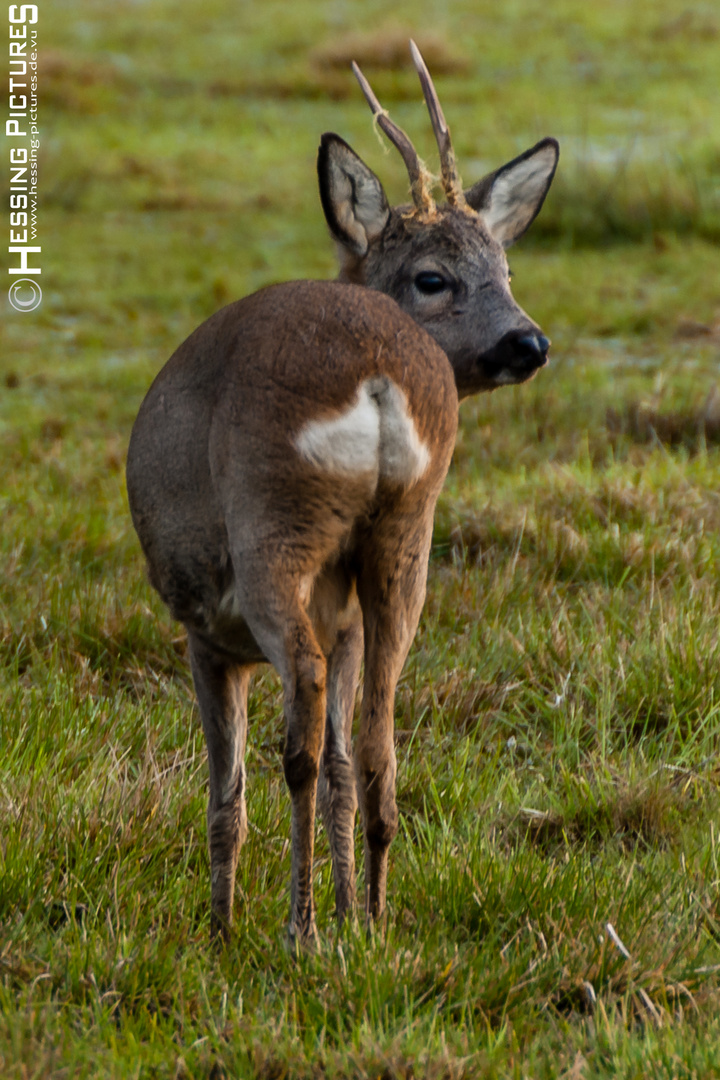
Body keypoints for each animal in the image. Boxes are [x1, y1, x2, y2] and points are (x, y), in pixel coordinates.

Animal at [126, 42, 561, 941]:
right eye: (434, 277)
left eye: (503, 270)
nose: (528, 341)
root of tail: (378, 375)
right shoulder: (349, 621)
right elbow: (340, 764)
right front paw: (345, 904)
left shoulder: (203, 633)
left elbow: (227, 792)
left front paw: (221, 928)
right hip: (405, 538)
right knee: (375, 742)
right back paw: (373, 918)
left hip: (273, 529)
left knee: (298, 728)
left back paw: (297, 927)